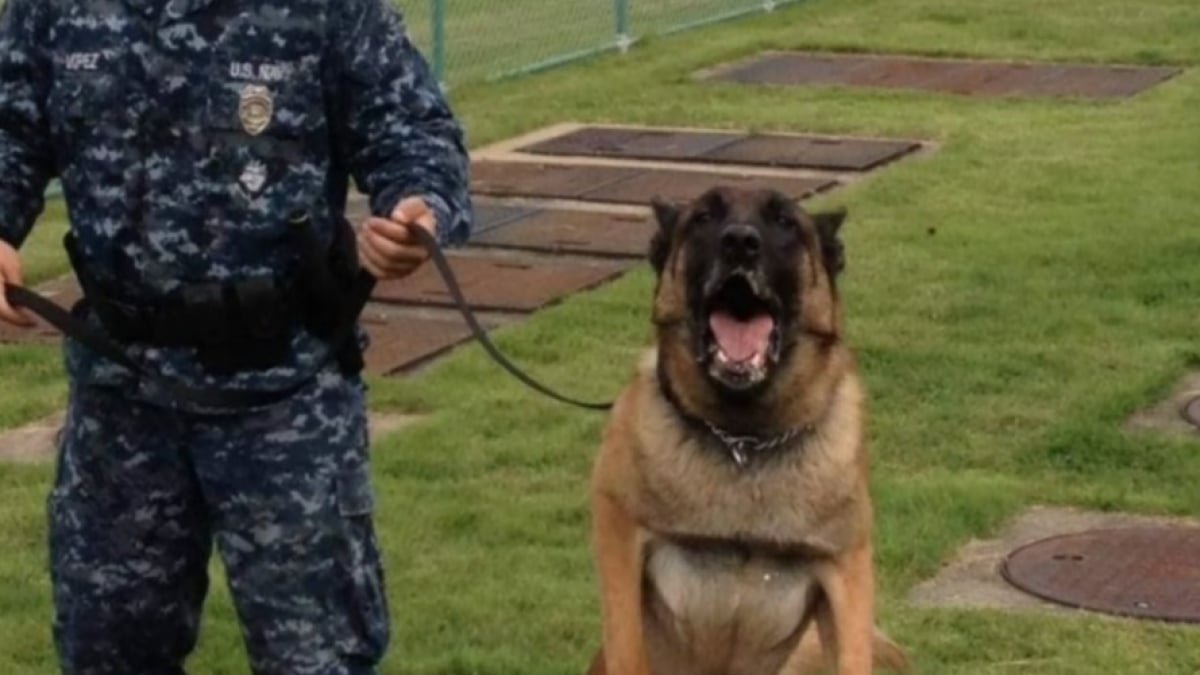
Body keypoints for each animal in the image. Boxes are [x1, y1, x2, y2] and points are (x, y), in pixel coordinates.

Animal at [585, 184, 902, 672]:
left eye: (785, 222)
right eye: (703, 217)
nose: (739, 242)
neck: (744, 439)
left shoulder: (847, 571)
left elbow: (853, 655)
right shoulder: (617, 529)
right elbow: (626, 644)